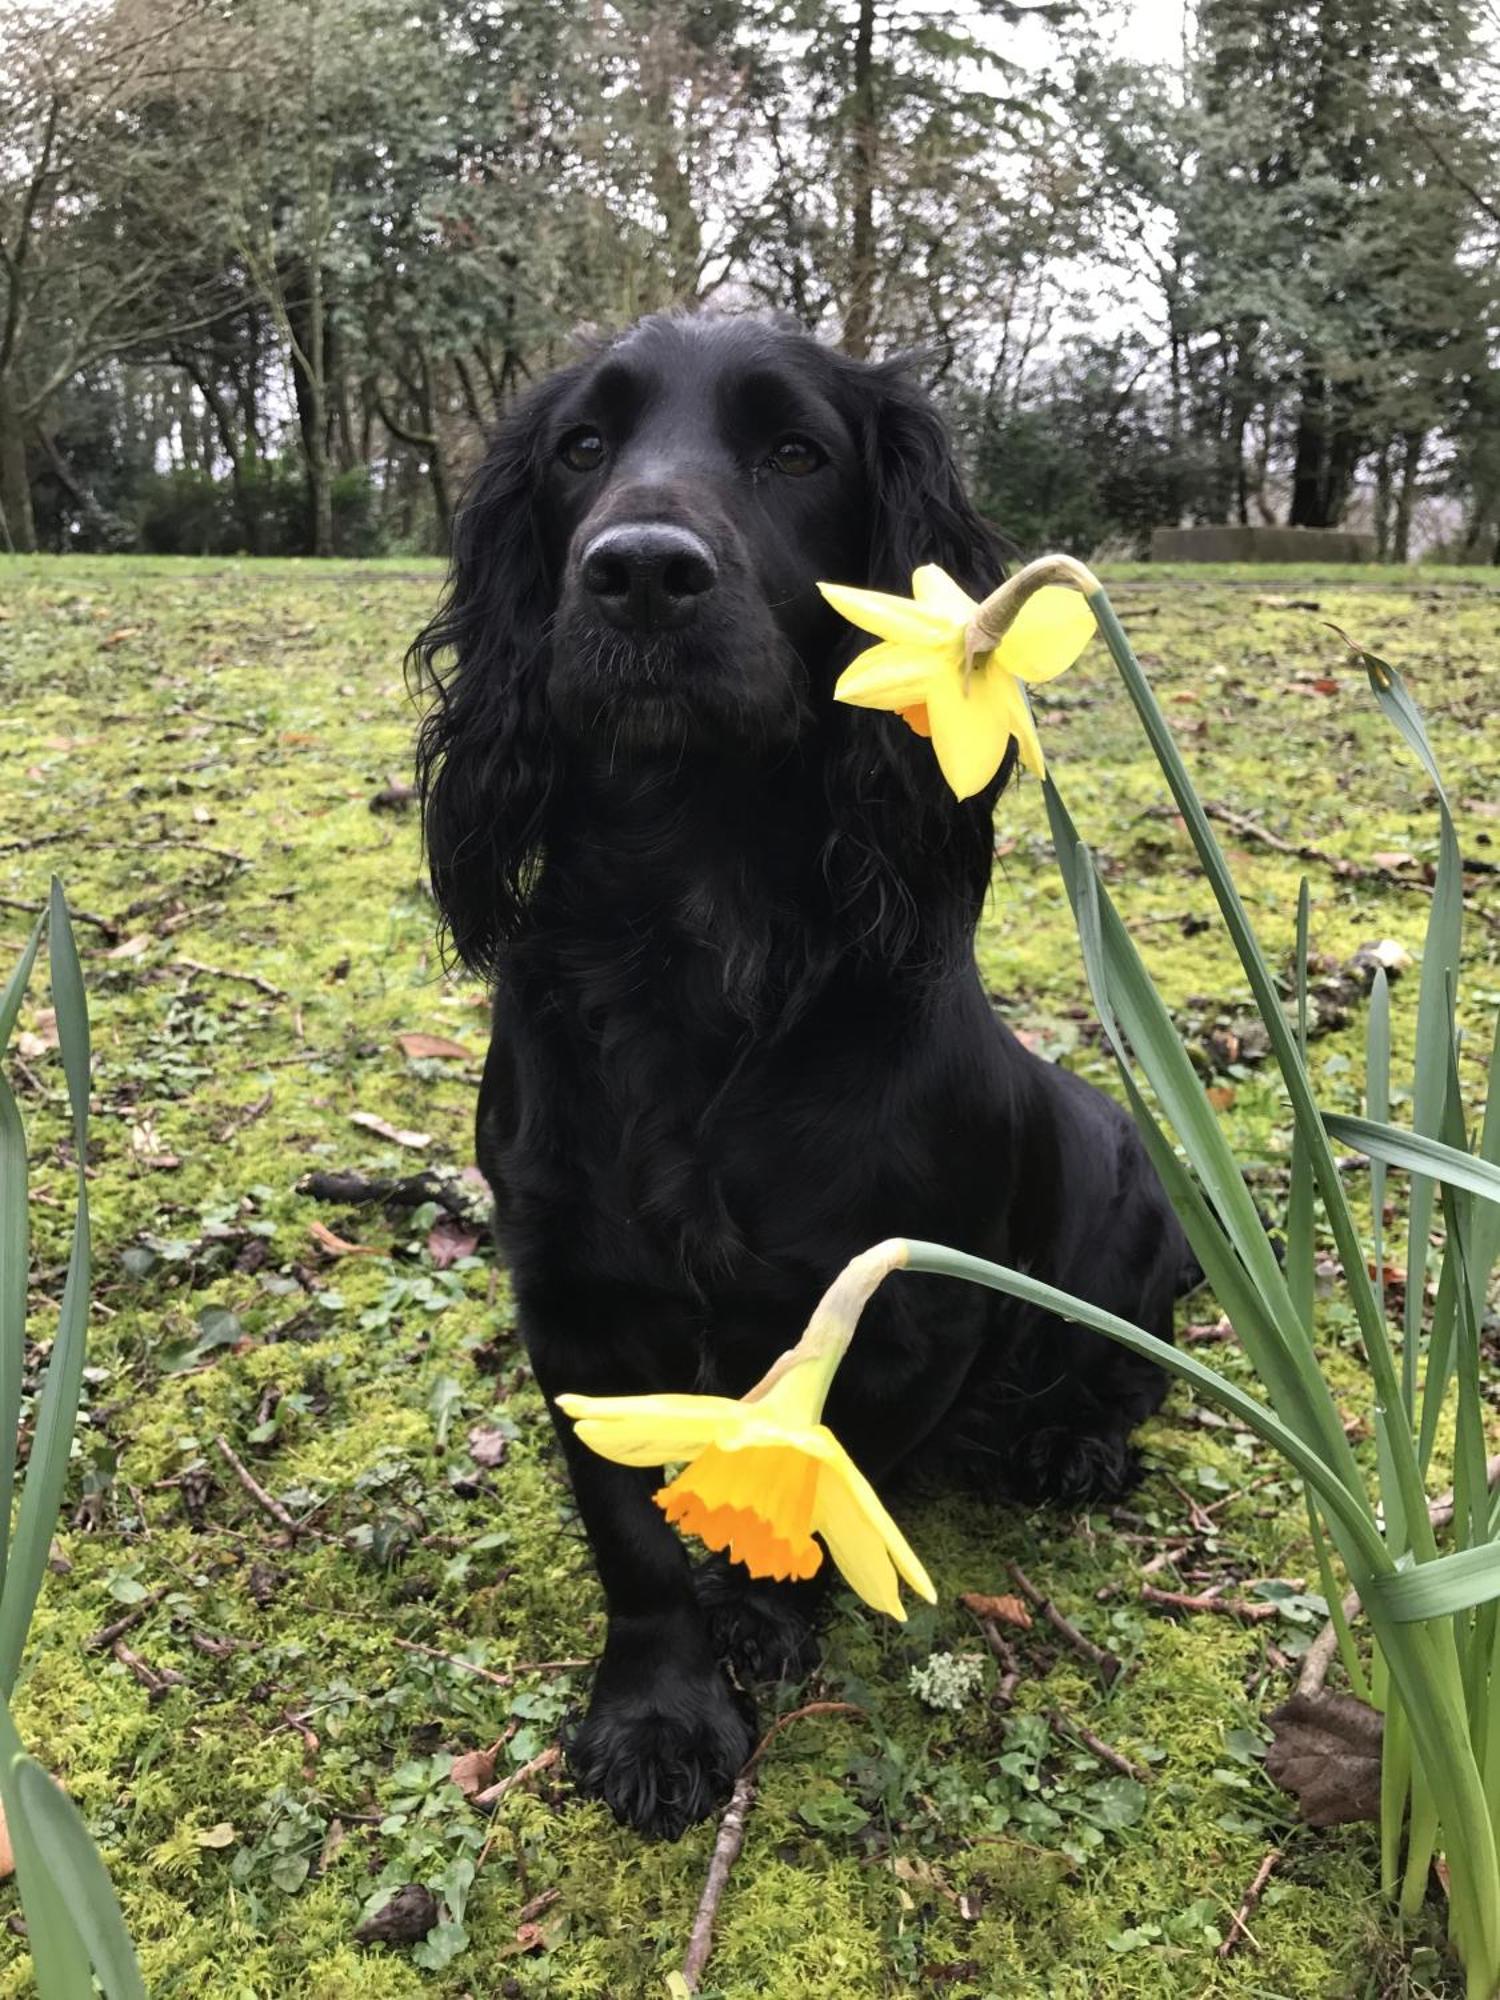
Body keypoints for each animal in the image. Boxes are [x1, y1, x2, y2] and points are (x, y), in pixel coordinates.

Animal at [414, 308, 1200, 1840]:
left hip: (1128, 1217)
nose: (641, 573)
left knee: (1124, 1370)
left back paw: (1072, 1443)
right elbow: (634, 1539)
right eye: (580, 448)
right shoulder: (573, 1302)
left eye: (795, 452)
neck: (695, 923)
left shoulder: (909, 1312)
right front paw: (659, 1714)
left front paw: (763, 1619)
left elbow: (824, 1492)